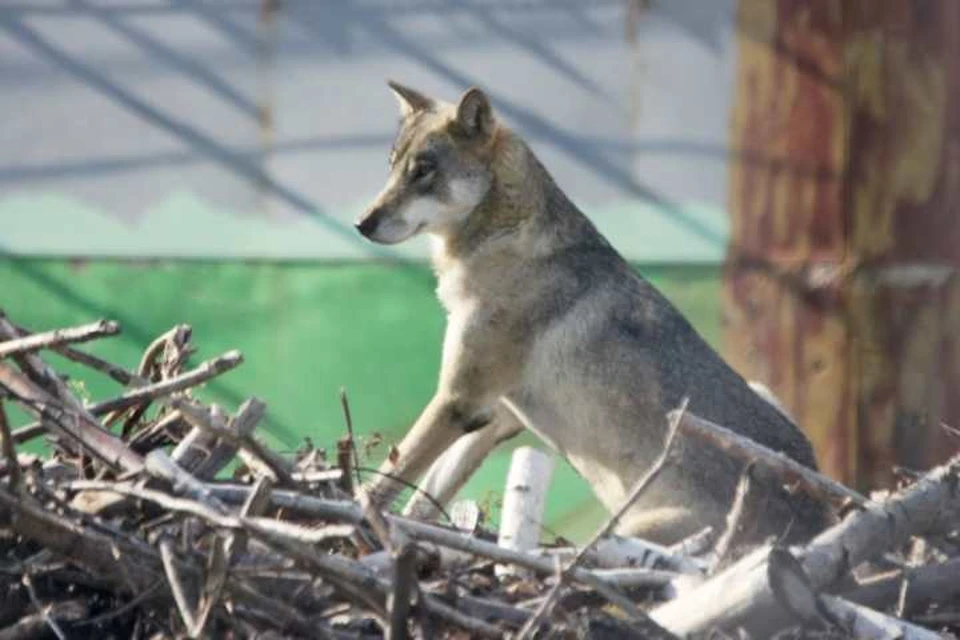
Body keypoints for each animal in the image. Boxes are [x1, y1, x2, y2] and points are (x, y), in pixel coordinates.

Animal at [356, 81, 828, 544]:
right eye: (393, 167)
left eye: (423, 170)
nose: (362, 223)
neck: (504, 241)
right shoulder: (491, 418)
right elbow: (424, 495)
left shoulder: (459, 401)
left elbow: (389, 476)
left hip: (621, 530)